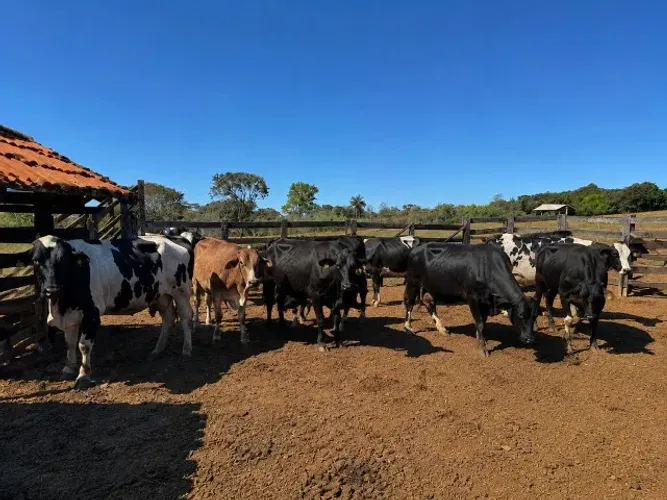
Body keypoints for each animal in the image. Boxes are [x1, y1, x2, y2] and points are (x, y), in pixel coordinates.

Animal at [31, 235, 195, 389]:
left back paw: (186, 351)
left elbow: (83, 345)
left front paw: (83, 376)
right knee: (168, 318)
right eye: (35, 261)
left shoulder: (92, 315)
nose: (52, 290)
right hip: (161, 295)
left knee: (186, 318)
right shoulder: (70, 317)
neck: (62, 304)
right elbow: (70, 343)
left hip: (181, 292)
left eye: (64, 260)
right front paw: (68, 368)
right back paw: (157, 350)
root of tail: (176, 238)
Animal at [403, 242, 539, 357]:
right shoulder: (473, 298)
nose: (530, 339)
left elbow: (483, 323)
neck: (488, 266)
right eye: (520, 314)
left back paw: (442, 329)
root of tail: (417, 248)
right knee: (409, 302)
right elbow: (479, 323)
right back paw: (408, 328)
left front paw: (483, 339)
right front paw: (483, 348)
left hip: (431, 286)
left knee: (429, 302)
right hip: (413, 281)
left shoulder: (486, 303)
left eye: (535, 316)